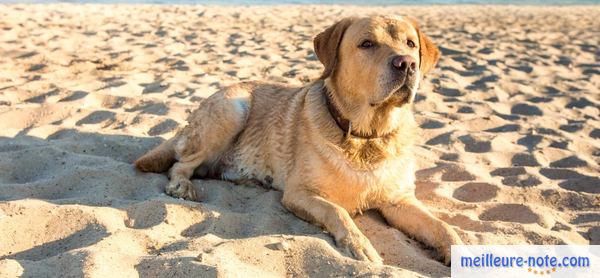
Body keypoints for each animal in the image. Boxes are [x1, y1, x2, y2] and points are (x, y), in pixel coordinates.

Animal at [137, 15, 464, 264]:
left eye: (411, 44)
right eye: (367, 44)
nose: (407, 64)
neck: (366, 135)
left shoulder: (399, 200)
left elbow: (443, 228)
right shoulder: (299, 193)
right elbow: (339, 211)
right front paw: (359, 245)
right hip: (233, 109)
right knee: (180, 163)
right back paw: (182, 185)